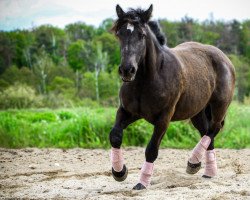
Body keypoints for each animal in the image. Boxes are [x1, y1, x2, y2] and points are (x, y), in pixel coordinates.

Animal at [108, 3, 235, 190]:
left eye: (142, 35)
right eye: (120, 33)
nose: (127, 70)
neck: (148, 79)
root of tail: (224, 58)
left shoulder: (163, 118)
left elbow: (151, 150)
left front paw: (142, 183)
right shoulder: (127, 112)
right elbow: (115, 136)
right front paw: (119, 172)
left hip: (219, 106)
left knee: (213, 129)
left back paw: (193, 162)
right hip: (197, 112)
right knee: (207, 133)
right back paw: (205, 170)